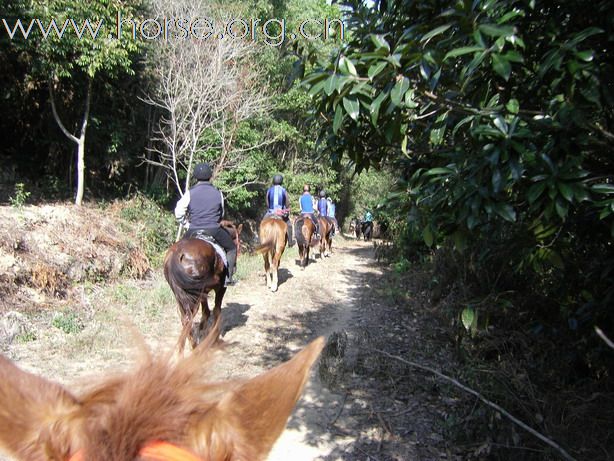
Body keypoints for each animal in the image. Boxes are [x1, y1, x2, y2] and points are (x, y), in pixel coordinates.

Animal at [164, 221, 243, 350]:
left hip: (181, 294)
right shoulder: (221, 288)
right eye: (238, 241)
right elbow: (216, 310)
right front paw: (214, 338)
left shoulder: (203, 292)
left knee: (184, 319)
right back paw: (194, 348)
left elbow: (206, 311)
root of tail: (176, 254)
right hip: (192, 295)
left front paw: (202, 331)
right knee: (188, 318)